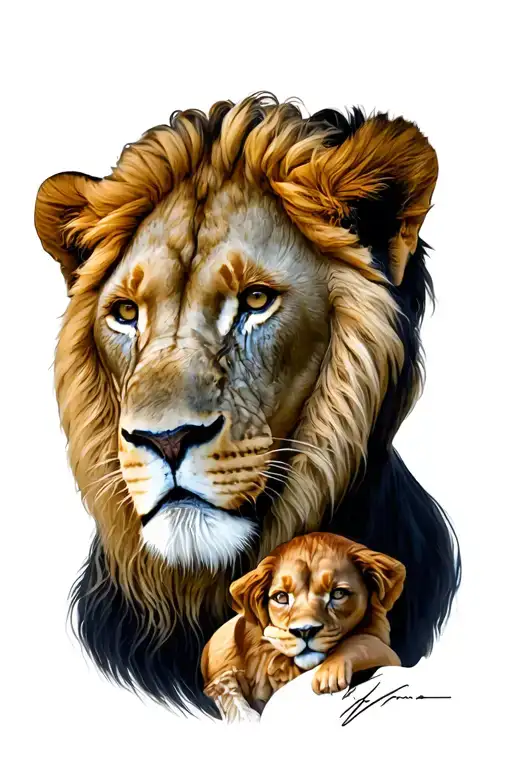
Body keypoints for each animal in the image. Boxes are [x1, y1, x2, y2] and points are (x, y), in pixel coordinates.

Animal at [201, 532, 405, 722]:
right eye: (281, 597)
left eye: (338, 594)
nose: (304, 630)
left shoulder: (390, 655)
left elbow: (362, 641)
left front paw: (329, 675)